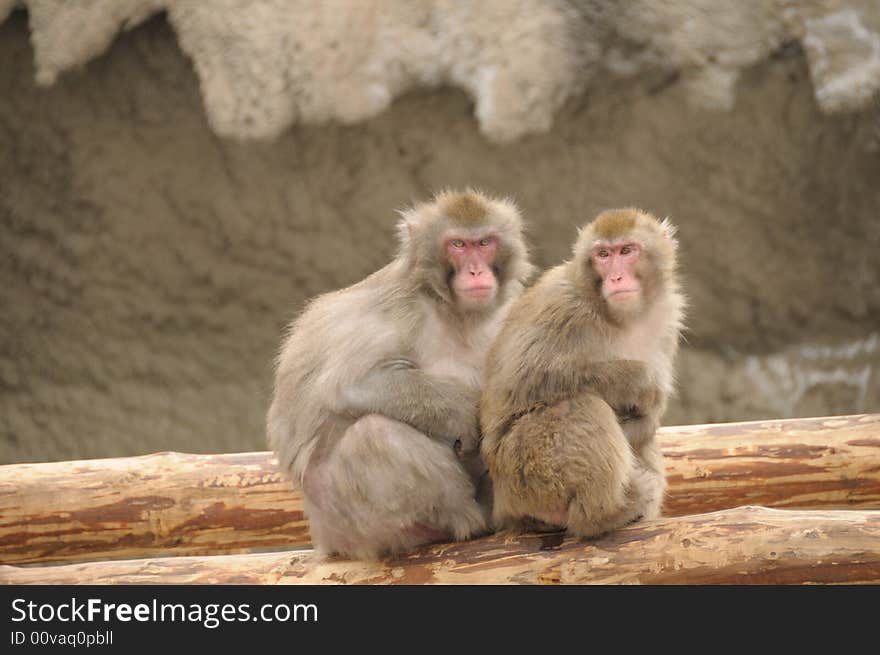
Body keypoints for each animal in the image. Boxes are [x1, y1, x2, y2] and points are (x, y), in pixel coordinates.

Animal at [266, 188, 528, 560]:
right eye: (458, 245)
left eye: (484, 242)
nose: (476, 271)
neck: (457, 312)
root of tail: (322, 536)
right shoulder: (402, 306)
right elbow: (349, 384)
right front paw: (465, 413)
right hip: (347, 522)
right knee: (375, 435)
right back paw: (464, 521)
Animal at [478, 209, 684, 540]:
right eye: (603, 255)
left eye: (627, 251)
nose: (615, 277)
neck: (621, 317)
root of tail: (504, 506)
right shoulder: (563, 306)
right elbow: (527, 377)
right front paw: (638, 380)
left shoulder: (666, 322)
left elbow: (647, 425)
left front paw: (646, 417)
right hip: (524, 471)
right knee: (579, 406)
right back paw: (604, 515)